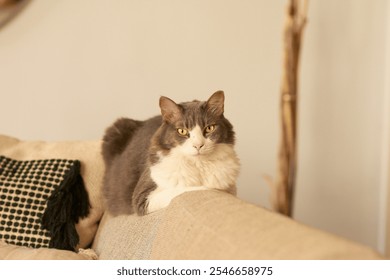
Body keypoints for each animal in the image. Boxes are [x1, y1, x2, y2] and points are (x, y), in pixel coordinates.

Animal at [100, 91, 241, 215]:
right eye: (182, 131)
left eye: (209, 128)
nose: (198, 145)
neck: (198, 166)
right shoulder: (142, 197)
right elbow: (184, 189)